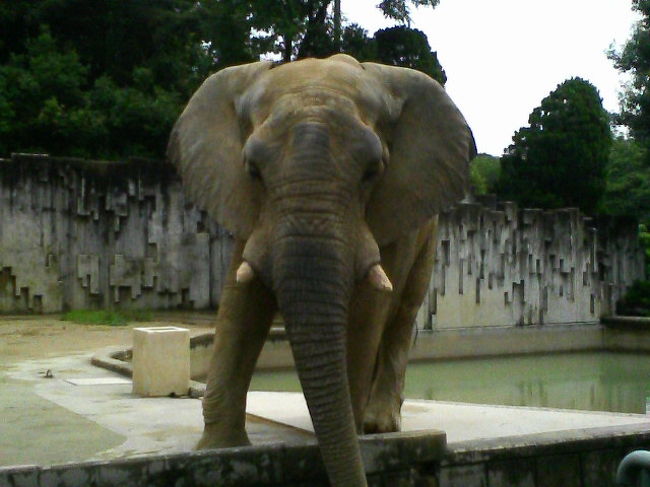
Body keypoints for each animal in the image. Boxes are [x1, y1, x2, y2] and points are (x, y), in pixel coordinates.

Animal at [166, 54, 470, 487]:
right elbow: (241, 305)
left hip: (428, 228)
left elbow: (367, 310)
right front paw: (218, 452)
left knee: (402, 314)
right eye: (253, 170)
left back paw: (377, 425)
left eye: (373, 171)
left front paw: (352, 440)